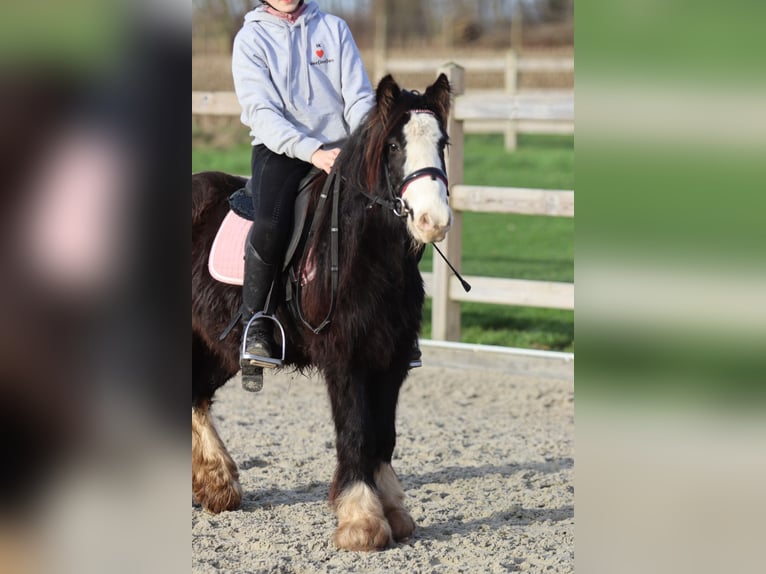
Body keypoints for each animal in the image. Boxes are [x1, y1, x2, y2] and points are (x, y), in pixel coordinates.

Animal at [192, 74, 452, 551]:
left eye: (442, 143)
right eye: (393, 146)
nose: (433, 220)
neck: (364, 253)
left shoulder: (391, 360)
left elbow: (383, 436)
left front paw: (393, 511)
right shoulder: (345, 359)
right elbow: (356, 432)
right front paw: (361, 520)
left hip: (219, 346)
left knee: (195, 396)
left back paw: (218, 485)